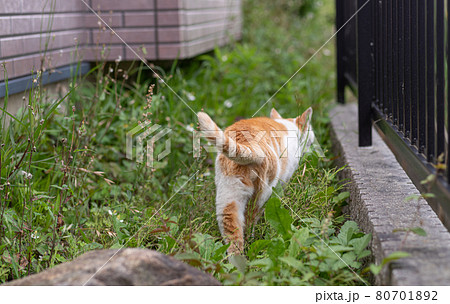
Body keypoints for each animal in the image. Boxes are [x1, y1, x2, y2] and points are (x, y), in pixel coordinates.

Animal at [199, 107, 314, 254]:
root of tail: (246, 142)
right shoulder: (282, 182)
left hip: (227, 197)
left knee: (233, 233)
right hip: (262, 193)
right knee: (250, 219)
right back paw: (252, 242)